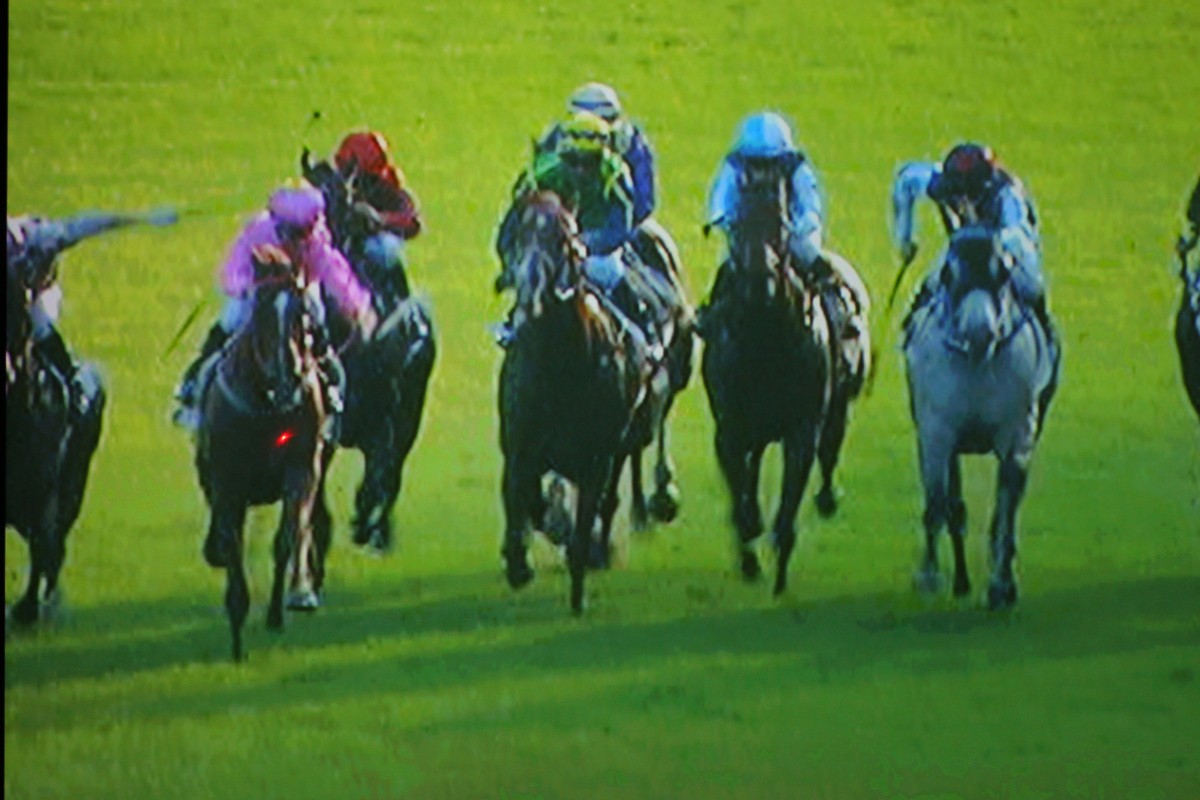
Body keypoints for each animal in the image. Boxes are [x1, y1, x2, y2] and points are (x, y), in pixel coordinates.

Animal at [5, 262, 105, 623]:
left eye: (20, 316)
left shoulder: (45, 490)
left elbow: (44, 544)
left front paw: (30, 609)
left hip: (75, 482)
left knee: (55, 540)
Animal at [194, 250, 333, 662]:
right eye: (262, 311)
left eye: (302, 312)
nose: (291, 378)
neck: (267, 403)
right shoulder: (228, 485)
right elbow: (233, 550)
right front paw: (237, 637)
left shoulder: (301, 468)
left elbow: (287, 537)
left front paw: (286, 604)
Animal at [494, 189, 657, 614]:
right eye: (517, 233)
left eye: (563, 237)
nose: (530, 287)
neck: (560, 368)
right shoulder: (520, 447)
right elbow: (522, 497)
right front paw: (519, 560)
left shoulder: (596, 458)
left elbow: (585, 522)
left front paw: (578, 593)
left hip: (623, 441)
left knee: (610, 497)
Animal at [700, 172, 835, 594]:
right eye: (738, 223)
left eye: (781, 222)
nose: (761, 281)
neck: (767, 342)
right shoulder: (729, 430)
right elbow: (739, 497)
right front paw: (749, 559)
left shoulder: (802, 430)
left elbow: (788, 508)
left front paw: (779, 571)